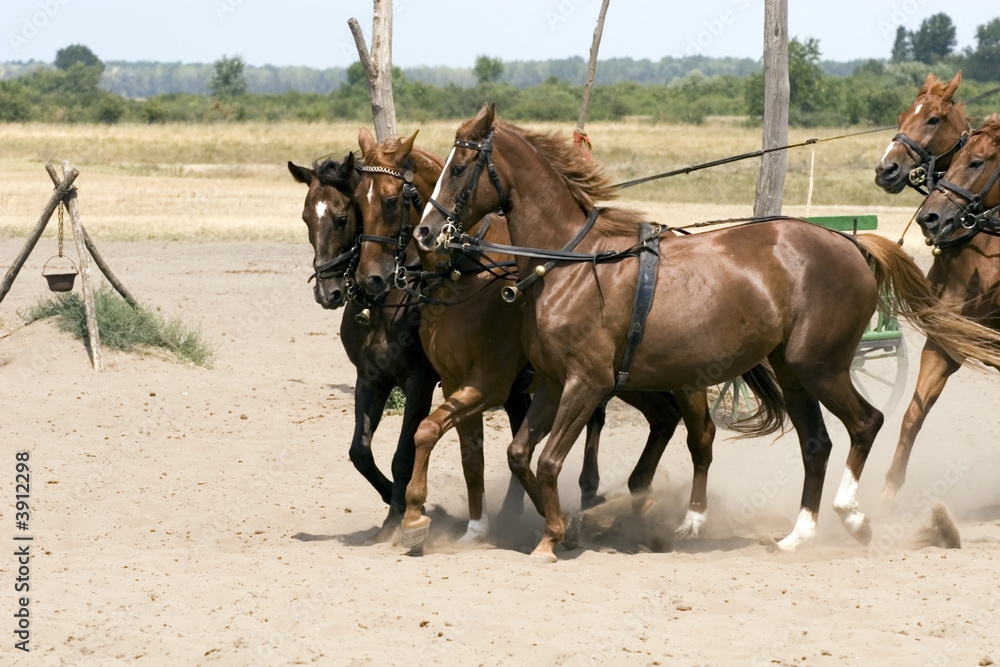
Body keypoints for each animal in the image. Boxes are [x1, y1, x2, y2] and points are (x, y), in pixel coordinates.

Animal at [288, 153, 439, 542]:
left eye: (342, 218)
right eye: (306, 218)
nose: (327, 293)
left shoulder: (419, 383)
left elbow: (403, 454)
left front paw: (399, 515)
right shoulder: (370, 379)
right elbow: (360, 451)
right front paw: (390, 501)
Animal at [352, 128, 717, 547]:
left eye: (392, 200)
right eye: (358, 201)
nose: (368, 279)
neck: (465, 278)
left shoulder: (486, 384)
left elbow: (427, 432)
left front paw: (415, 518)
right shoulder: (454, 382)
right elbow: (470, 456)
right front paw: (481, 527)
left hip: (682, 378)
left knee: (701, 436)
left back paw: (687, 519)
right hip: (631, 379)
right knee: (664, 418)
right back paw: (636, 501)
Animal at [413, 104, 1000, 561]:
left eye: (460, 166)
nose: (425, 232)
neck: (572, 262)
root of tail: (851, 243)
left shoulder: (586, 384)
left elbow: (550, 459)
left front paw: (554, 537)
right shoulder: (554, 384)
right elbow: (520, 455)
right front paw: (561, 529)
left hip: (821, 366)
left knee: (867, 422)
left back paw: (852, 517)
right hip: (791, 372)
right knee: (816, 443)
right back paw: (798, 535)